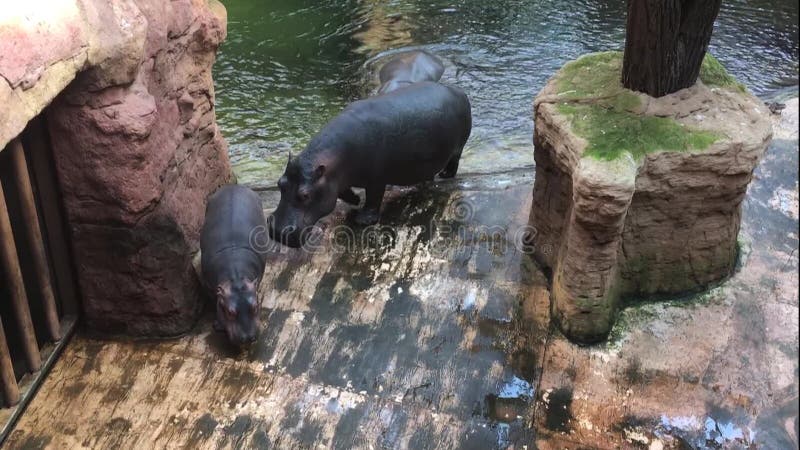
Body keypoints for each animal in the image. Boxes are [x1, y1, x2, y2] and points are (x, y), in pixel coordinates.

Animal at [199, 185, 266, 346]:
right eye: (230, 312)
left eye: (255, 307)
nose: (248, 338)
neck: (236, 278)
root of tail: (233, 186)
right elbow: (215, 302)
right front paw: (218, 325)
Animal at [268, 81, 472, 250]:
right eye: (280, 183)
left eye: (305, 195)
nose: (277, 232)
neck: (333, 159)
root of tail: (459, 91)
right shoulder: (332, 180)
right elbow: (341, 192)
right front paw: (354, 200)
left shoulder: (376, 178)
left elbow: (374, 197)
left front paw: (363, 219)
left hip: (458, 148)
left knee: (454, 162)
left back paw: (445, 175)